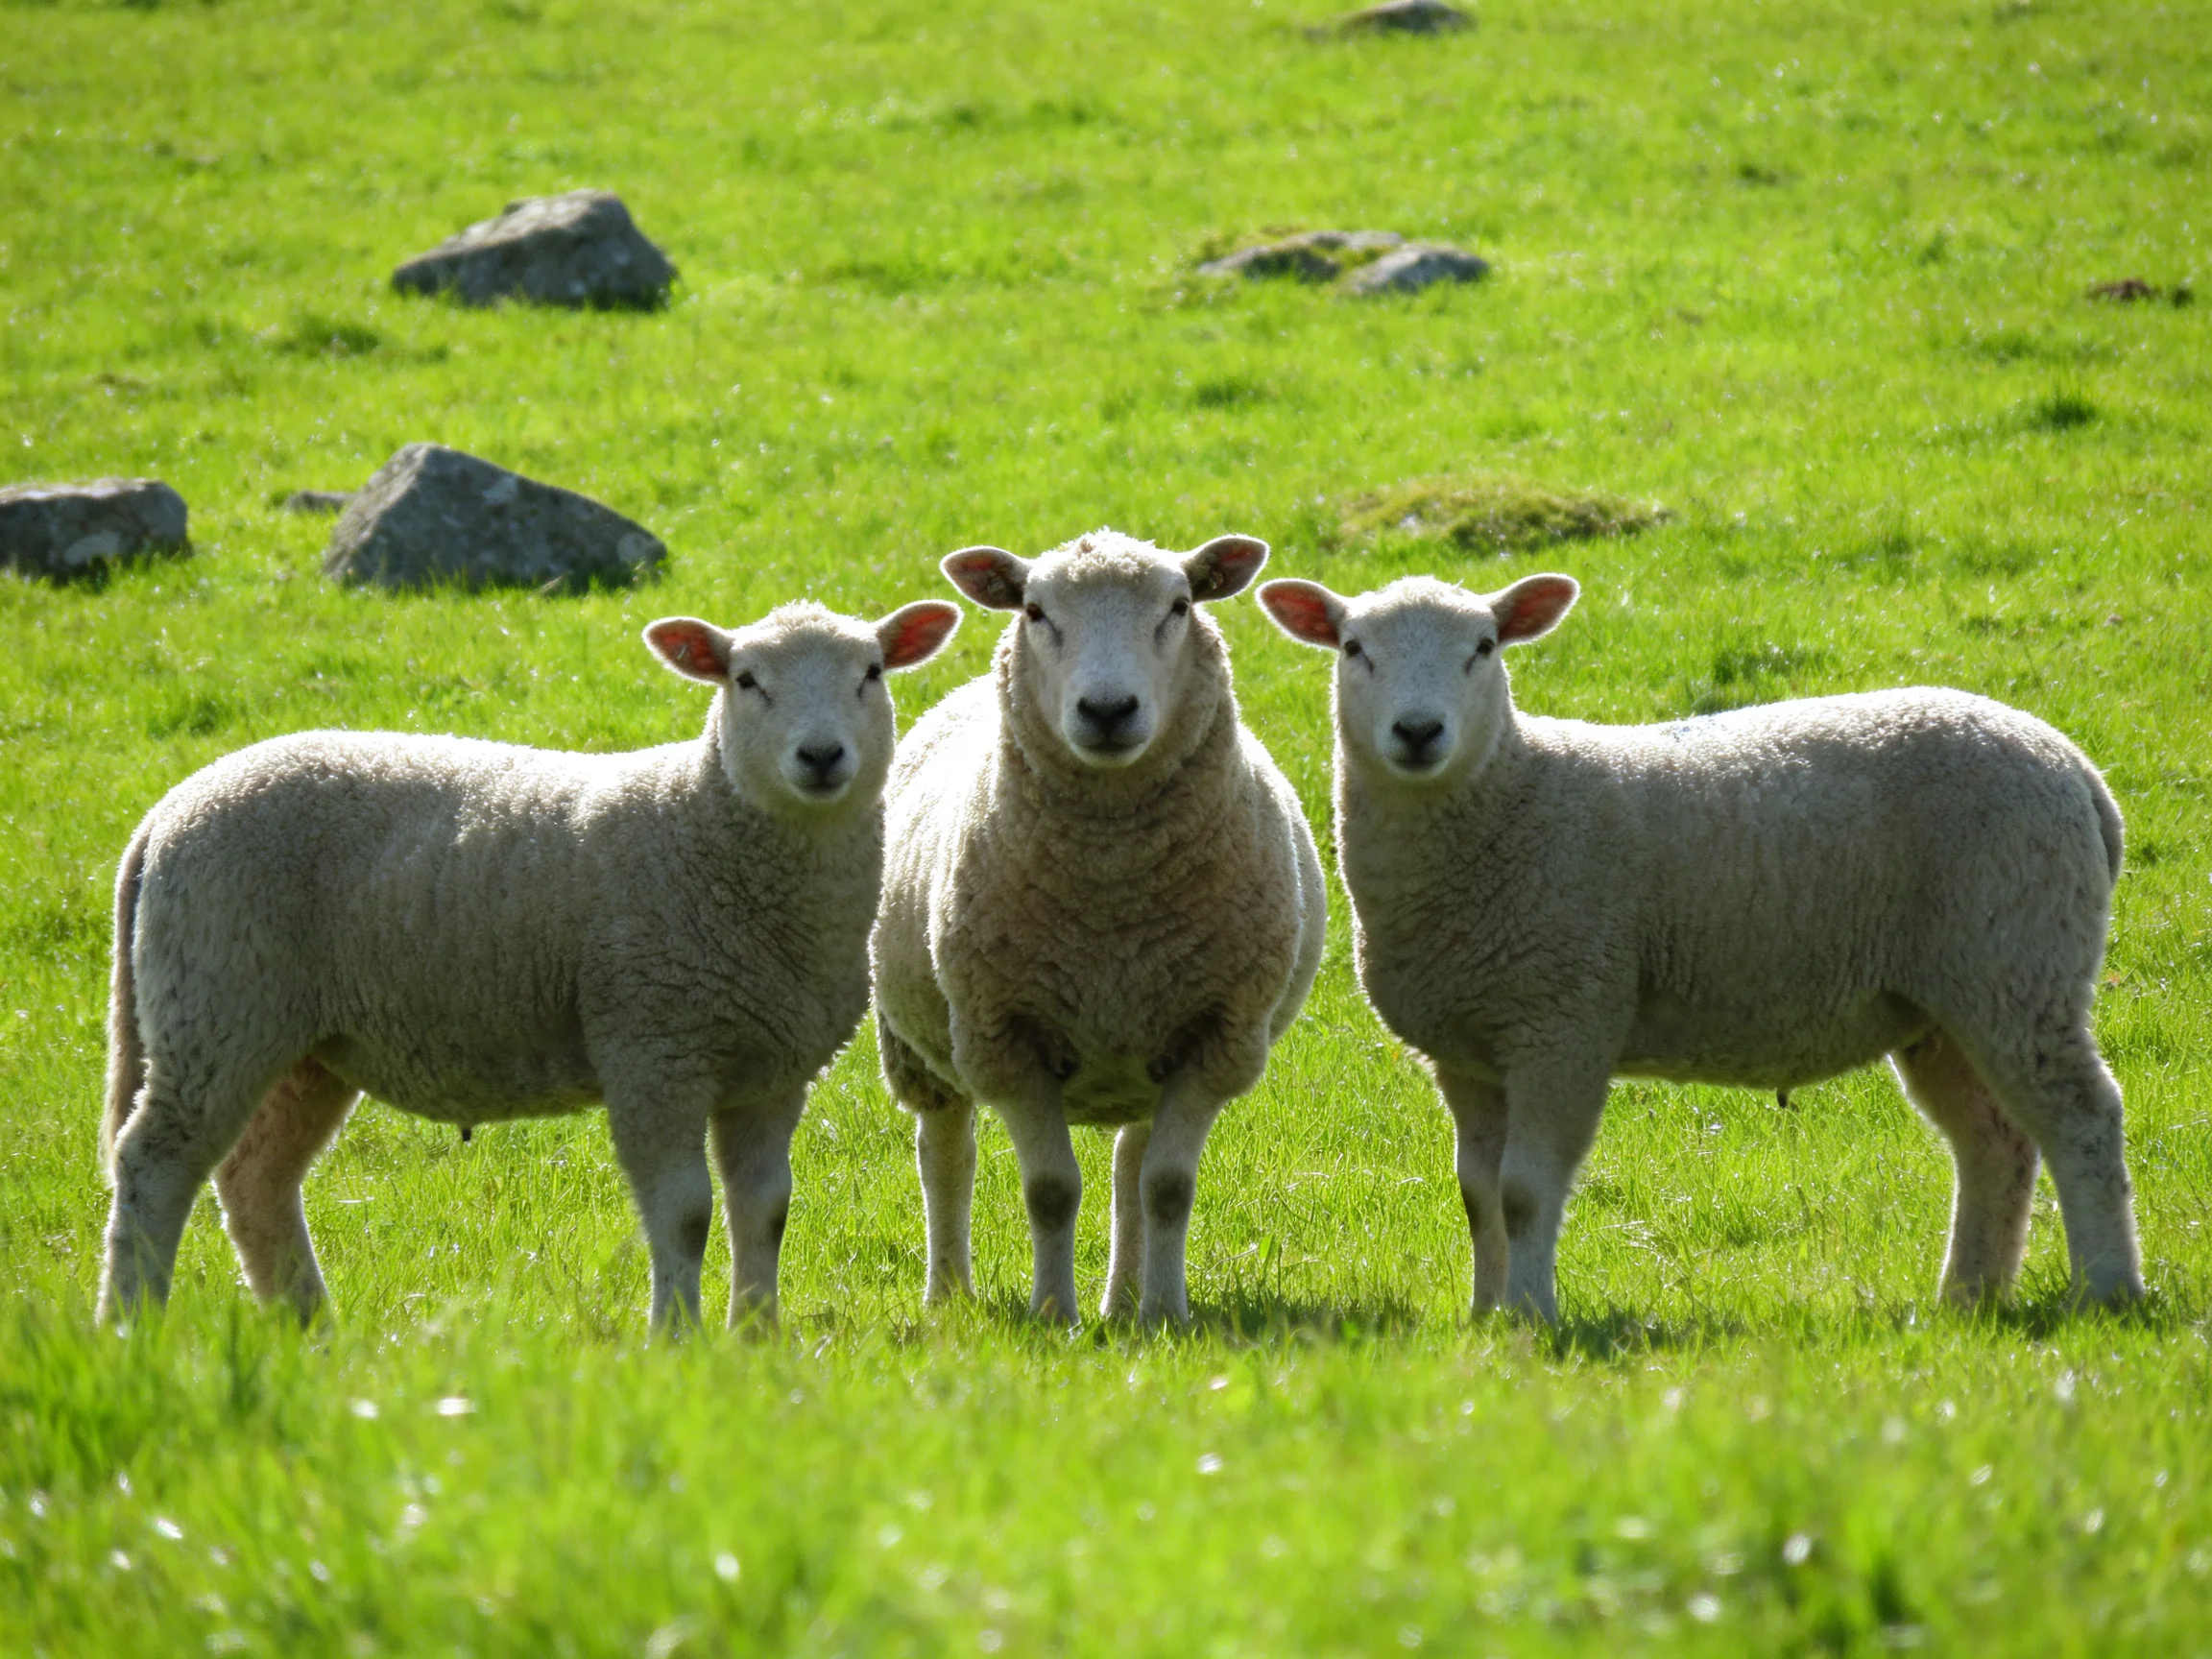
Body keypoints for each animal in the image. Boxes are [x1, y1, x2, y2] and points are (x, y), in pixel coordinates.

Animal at [98, 596, 962, 1331]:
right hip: (216, 1005)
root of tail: (171, 809)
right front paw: (677, 1342)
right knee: (153, 1164)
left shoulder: (771, 1069)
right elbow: (684, 1214)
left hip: (303, 1045)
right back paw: (131, 1326)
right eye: (746, 681)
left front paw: (755, 1339)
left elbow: (766, 1211)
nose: (821, 756)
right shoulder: (653, 1049)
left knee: (257, 1181)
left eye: (871, 673)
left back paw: (311, 1328)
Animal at [871, 529, 1327, 1326]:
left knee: (1129, 1168)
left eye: (1179, 606)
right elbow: (1050, 1191)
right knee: (945, 1155)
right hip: (919, 1047)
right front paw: (1054, 1315)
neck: (1112, 906)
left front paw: (1167, 1315)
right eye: (1035, 611)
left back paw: (1125, 1304)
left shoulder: (1217, 1037)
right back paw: (949, 1295)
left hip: (1147, 1052)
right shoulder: (1003, 1039)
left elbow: (1167, 1187)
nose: (1108, 710)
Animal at [1258, 570, 2144, 1322]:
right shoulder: (1468, 1049)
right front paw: (1486, 1314)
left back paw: (2107, 1290)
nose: (1418, 731)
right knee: (1992, 1141)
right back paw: (1968, 1299)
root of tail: (2076, 770)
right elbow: (1478, 1196)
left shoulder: (1564, 1023)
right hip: (1948, 1000)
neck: (1511, 799)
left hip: (2019, 959)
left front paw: (1533, 1318)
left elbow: (1524, 1193)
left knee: (2082, 1119)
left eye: (1483, 647)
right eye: (1354, 648)